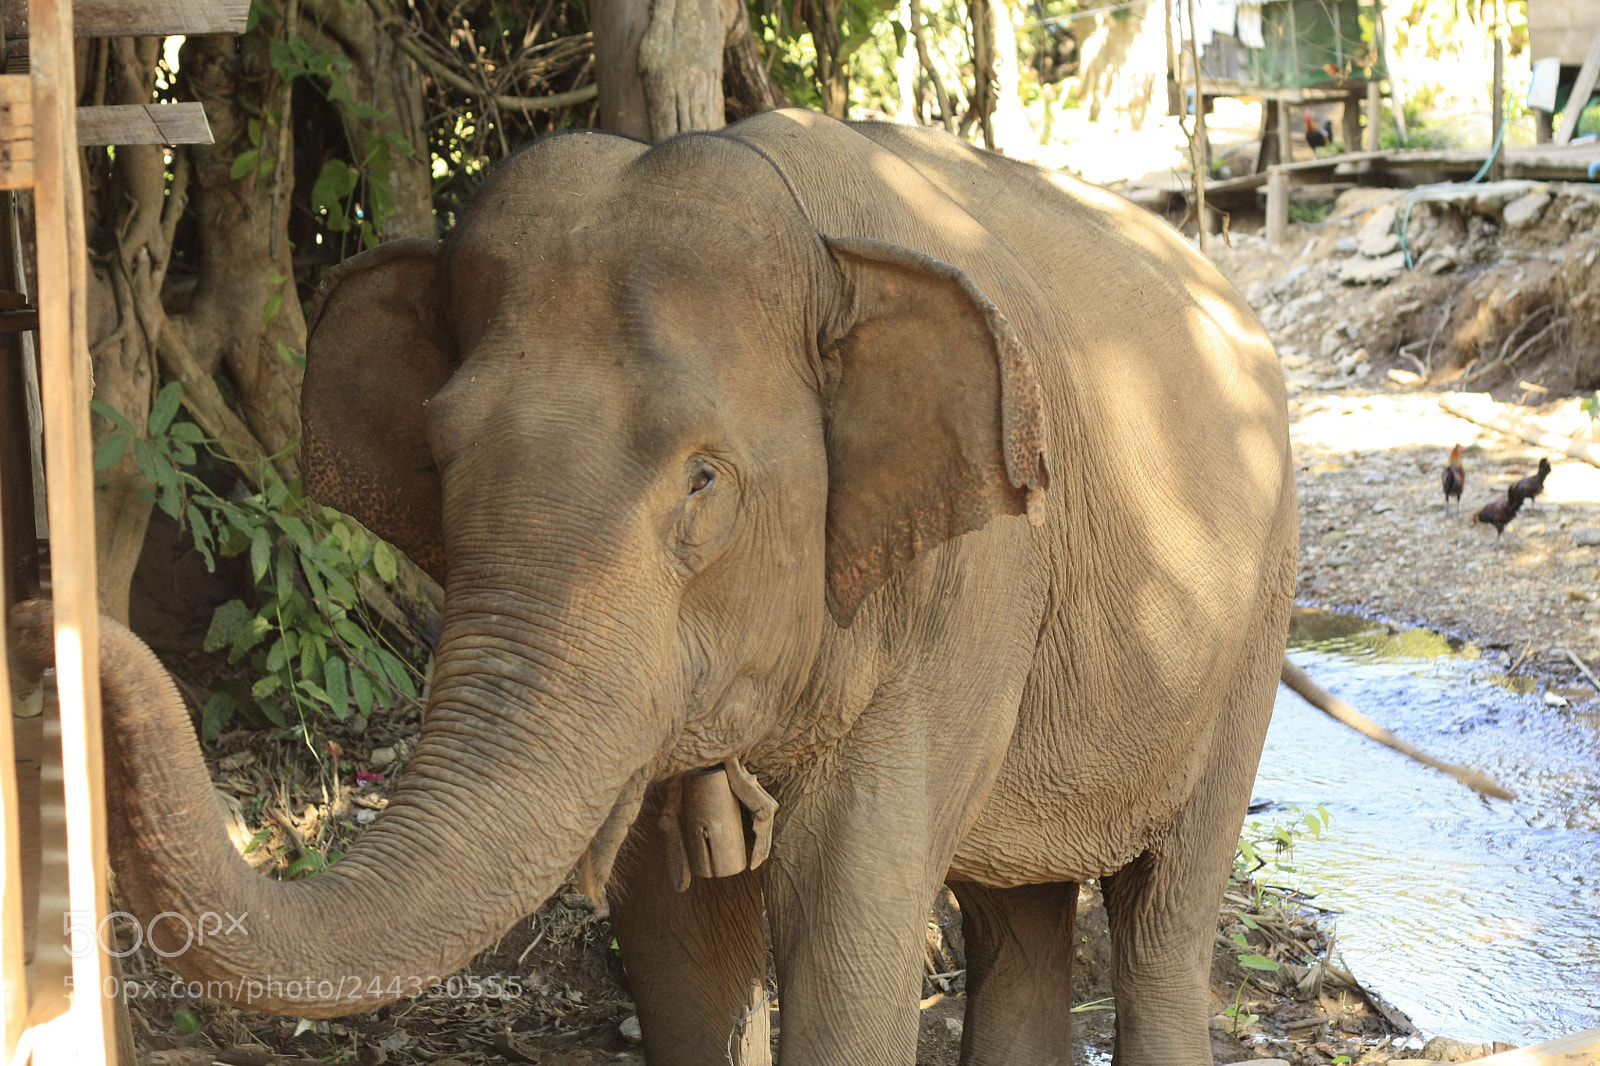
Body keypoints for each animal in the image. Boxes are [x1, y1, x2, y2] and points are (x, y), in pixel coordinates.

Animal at [11, 109, 1303, 1066]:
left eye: (704, 479)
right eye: (437, 455)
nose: (38, 619)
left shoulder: (980, 574)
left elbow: (849, 905)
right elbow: (672, 928)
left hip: (1256, 613)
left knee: (1162, 918)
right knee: (1016, 912)